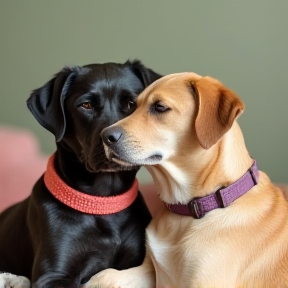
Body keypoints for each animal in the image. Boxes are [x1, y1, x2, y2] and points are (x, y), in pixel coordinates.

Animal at [0, 59, 162, 286]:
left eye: (131, 105)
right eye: (86, 105)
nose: (112, 138)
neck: (102, 203)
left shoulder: (138, 264)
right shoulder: (51, 275)